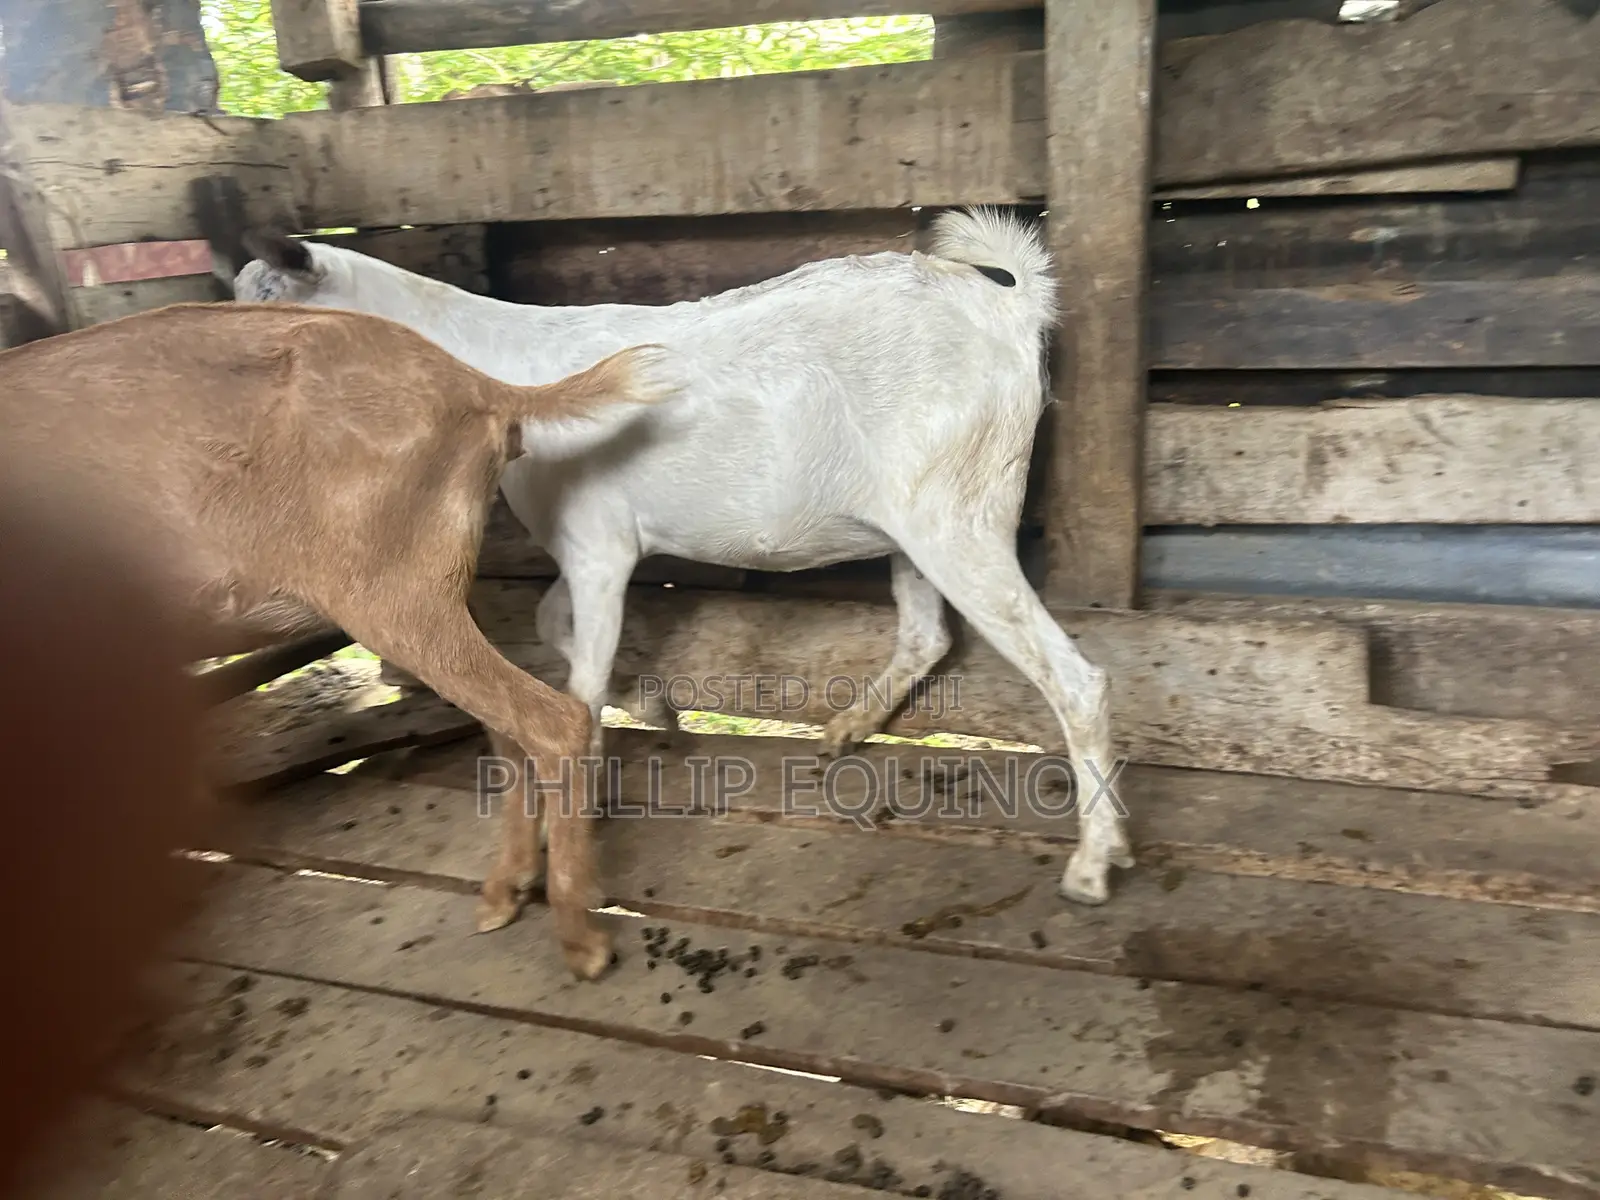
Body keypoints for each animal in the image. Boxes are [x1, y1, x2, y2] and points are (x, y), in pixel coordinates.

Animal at [0, 302, 680, 979]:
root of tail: (481, 387)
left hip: (391, 594)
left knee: (552, 720)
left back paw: (583, 942)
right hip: (440, 591)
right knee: (507, 731)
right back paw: (504, 892)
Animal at [234, 208, 1134, 906]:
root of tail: (1009, 308)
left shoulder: (598, 545)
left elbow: (579, 672)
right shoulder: (590, 546)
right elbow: (554, 626)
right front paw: (655, 705)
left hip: (960, 510)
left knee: (1076, 678)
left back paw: (1095, 863)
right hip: (913, 520)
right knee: (928, 634)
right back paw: (848, 730)